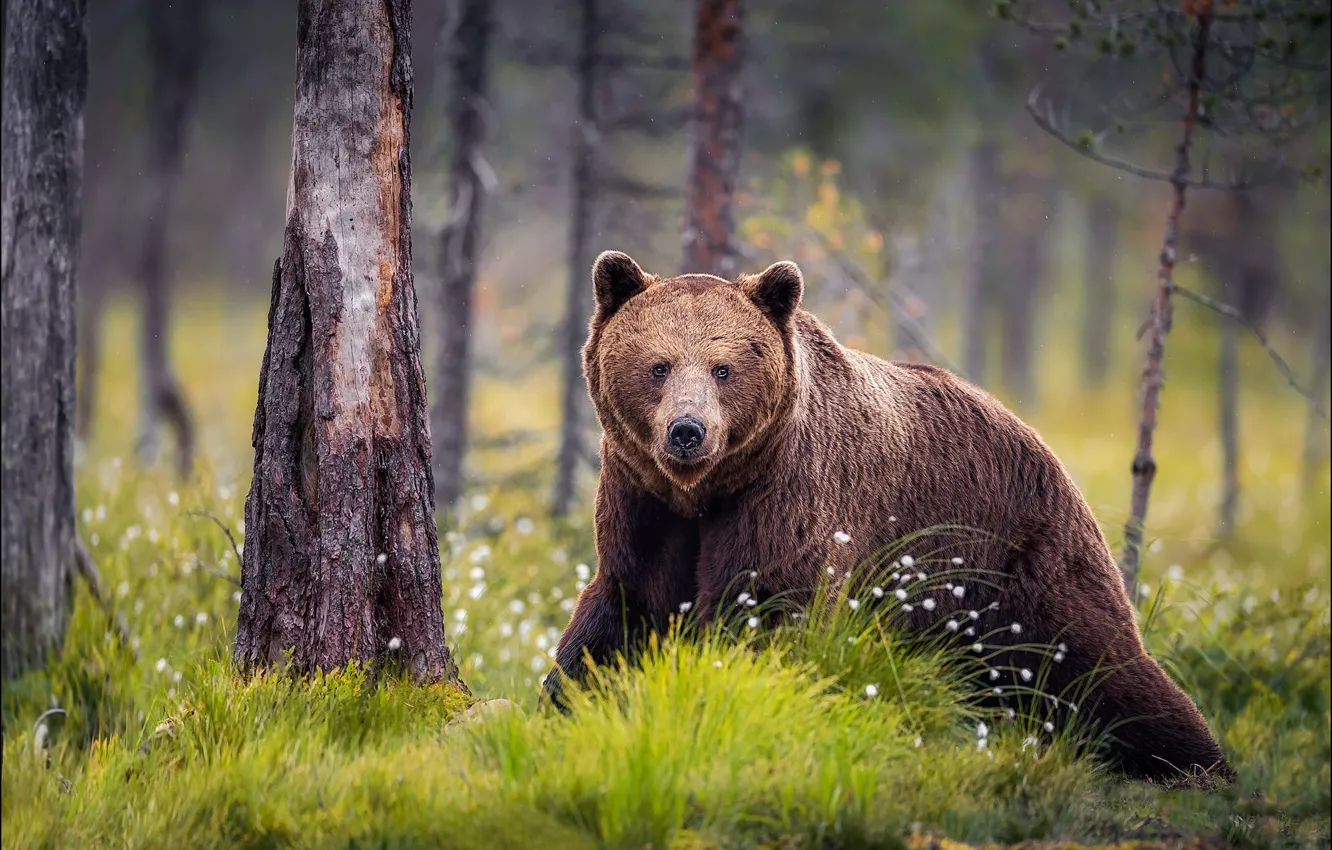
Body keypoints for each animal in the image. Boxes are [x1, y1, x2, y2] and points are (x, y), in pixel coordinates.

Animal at [545, 249, 1231, 784]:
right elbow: (624, 606)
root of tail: (1039, 440)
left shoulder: (786, 496)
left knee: (1098, 661)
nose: (688, 431)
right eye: (658, 365)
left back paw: (1196, 763)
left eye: (724, 368)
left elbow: (763, 607)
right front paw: (567, 698)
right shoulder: (644, 500)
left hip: (1017, 555)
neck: (708, 491)